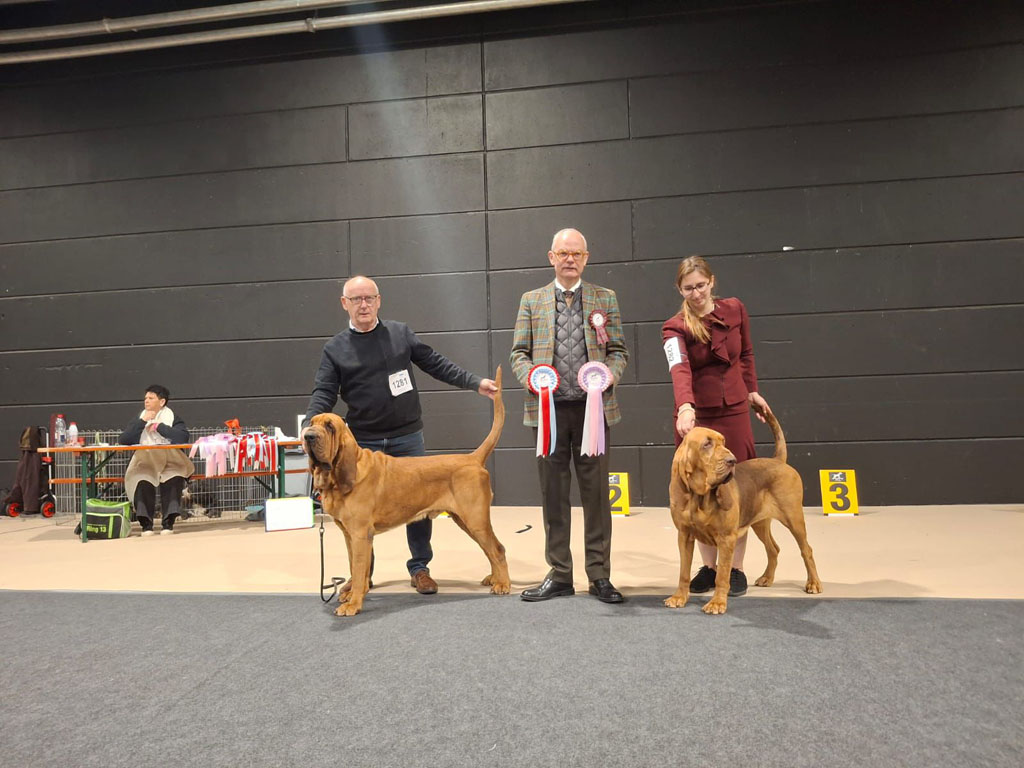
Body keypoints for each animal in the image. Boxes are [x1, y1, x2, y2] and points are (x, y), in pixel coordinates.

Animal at [666, 410, 822, 615]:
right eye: (707, 444)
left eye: (724, 442)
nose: (732, 460)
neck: (699, 497)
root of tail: (778, 460)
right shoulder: (684, 536)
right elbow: (683, 572)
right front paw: (678, 597)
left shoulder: (726, 538)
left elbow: (722, 575)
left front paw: (717, 603)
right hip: (759, 523)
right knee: (773, 548)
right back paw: (766, 578)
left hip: (794, 518)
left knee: (807, 550)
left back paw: (813, 583)